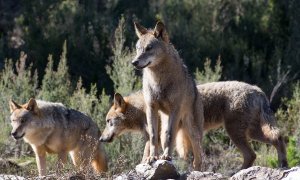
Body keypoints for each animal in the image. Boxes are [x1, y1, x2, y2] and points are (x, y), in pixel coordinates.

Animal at [99, 81, 288, 170]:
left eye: (108, 122)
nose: (101, 139)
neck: (142, 109)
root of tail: (258, 90)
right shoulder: (157, 138)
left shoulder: (158, 137)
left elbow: (147, 156)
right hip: (252, 132)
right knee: (277, 139)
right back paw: (283, 164)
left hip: (236, 133)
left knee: (253, 153)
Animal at [131, 21, 204, 170]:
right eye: (138, 48)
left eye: (149, 48)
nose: (134, 62)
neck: (158, 80)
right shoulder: (151, 108)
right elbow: (153, 136)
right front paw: (152, 157)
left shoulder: (175, 109)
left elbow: (171, 136)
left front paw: (166, 157)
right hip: (166, 122)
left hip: (192, 131)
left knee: (198, 158)